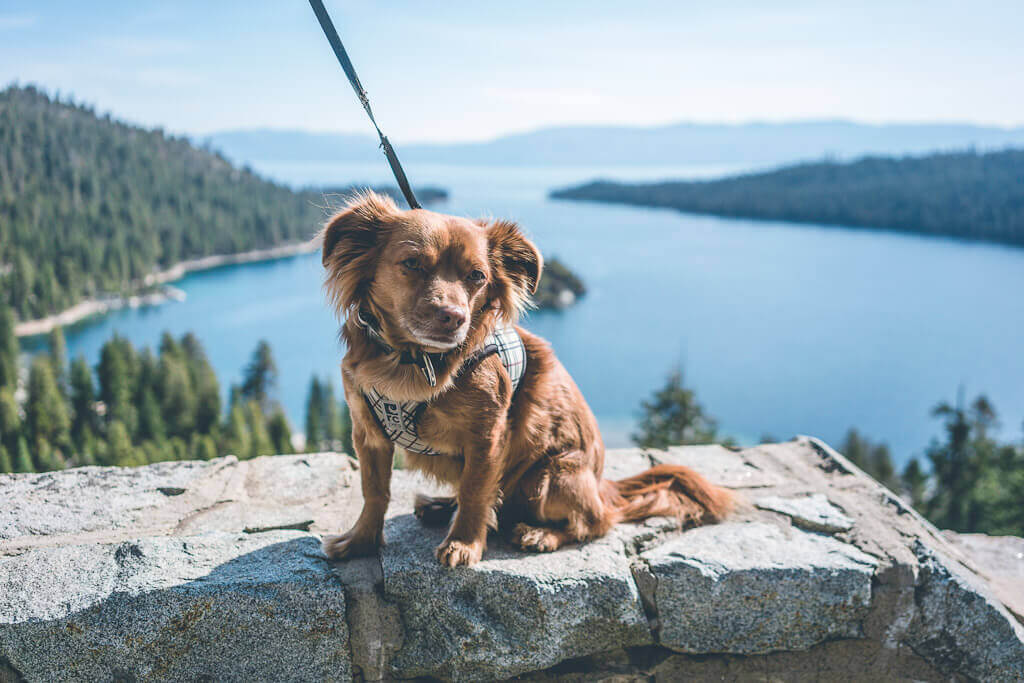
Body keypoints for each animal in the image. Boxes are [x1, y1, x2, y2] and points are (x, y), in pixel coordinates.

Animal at [317, 191, 729, 565]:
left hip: (551, 474)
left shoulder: (488, 436)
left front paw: (463, 544)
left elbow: (475, 491)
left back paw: (540, 534)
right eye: (412, 263)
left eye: (477, 276)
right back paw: (440, 506)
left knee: (595, 522)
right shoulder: (368, 434)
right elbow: (375, 492)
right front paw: (360, 541)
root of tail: (602, 486)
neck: (412, 360)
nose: (454, 317)